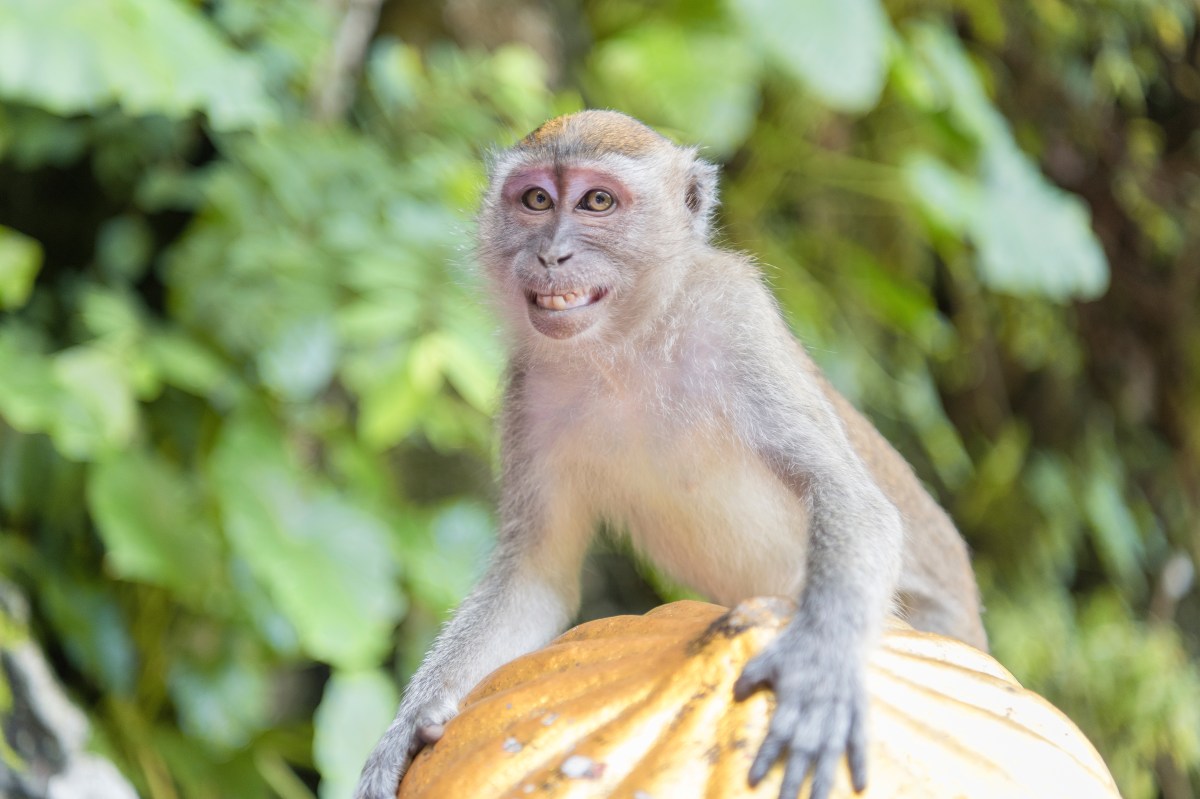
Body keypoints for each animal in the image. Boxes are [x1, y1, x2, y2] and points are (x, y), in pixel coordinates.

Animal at [352, 110, 984, 796]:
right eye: (536, 200)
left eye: (597, 202)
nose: (551, 253)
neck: (625, 344)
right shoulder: (526, 388)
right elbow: (538, 574)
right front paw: (408, 727)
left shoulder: (737, 318)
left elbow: (847, 495)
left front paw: (819, 666)